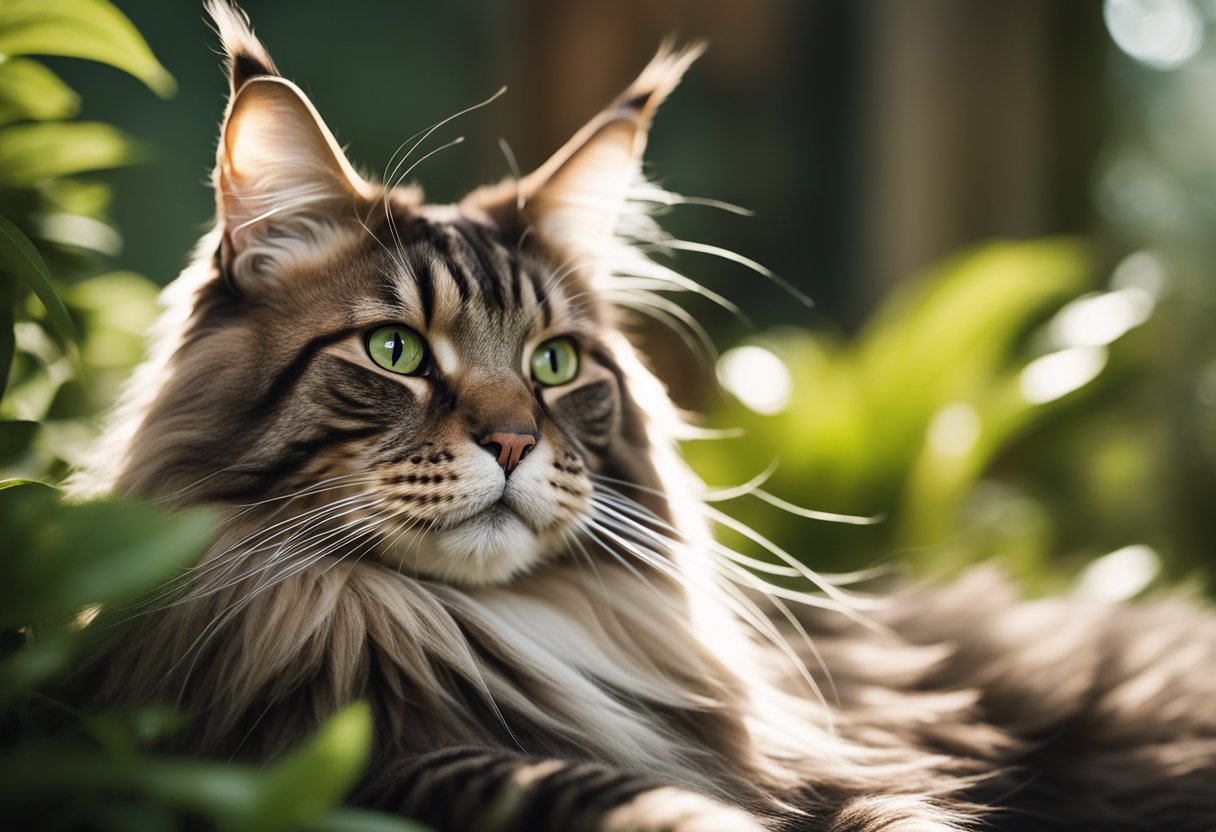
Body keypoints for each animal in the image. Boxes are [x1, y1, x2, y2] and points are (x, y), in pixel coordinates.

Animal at [76, 3, 1216, 827]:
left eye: (555, 362)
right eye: (395, 350)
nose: (511, 440)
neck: (463, 632)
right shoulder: (322, 765)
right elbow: (596, 795)